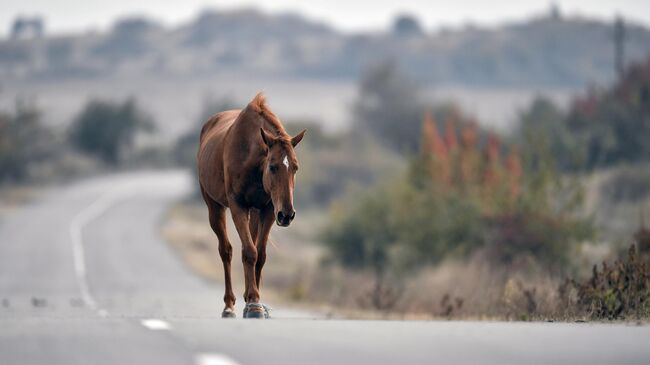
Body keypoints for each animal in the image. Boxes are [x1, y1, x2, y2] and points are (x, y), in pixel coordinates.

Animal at [196, 92, 306, 318]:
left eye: (296, 167)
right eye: (272, 166)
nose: (287, 215)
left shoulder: (269, 210)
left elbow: (259, 253)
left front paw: (254, 301)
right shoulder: (238, 206)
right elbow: (249, 251)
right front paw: (253, 303)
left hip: (255, 212)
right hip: (215, 207)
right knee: (226, 251)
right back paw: (229, 305)